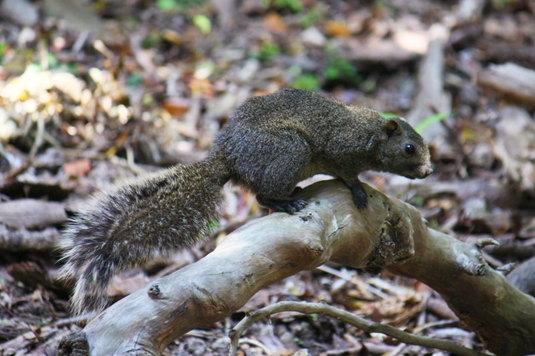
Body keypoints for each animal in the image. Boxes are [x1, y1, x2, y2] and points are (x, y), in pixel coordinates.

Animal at [59, 88, 436, 314]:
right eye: (409, 148)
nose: (428, 171)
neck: (367, 131)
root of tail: (228, 158)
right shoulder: (341, 151)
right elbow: (347, 174)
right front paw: (358, 188)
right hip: (289, 152)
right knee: (262, 194)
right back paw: (287, 202)